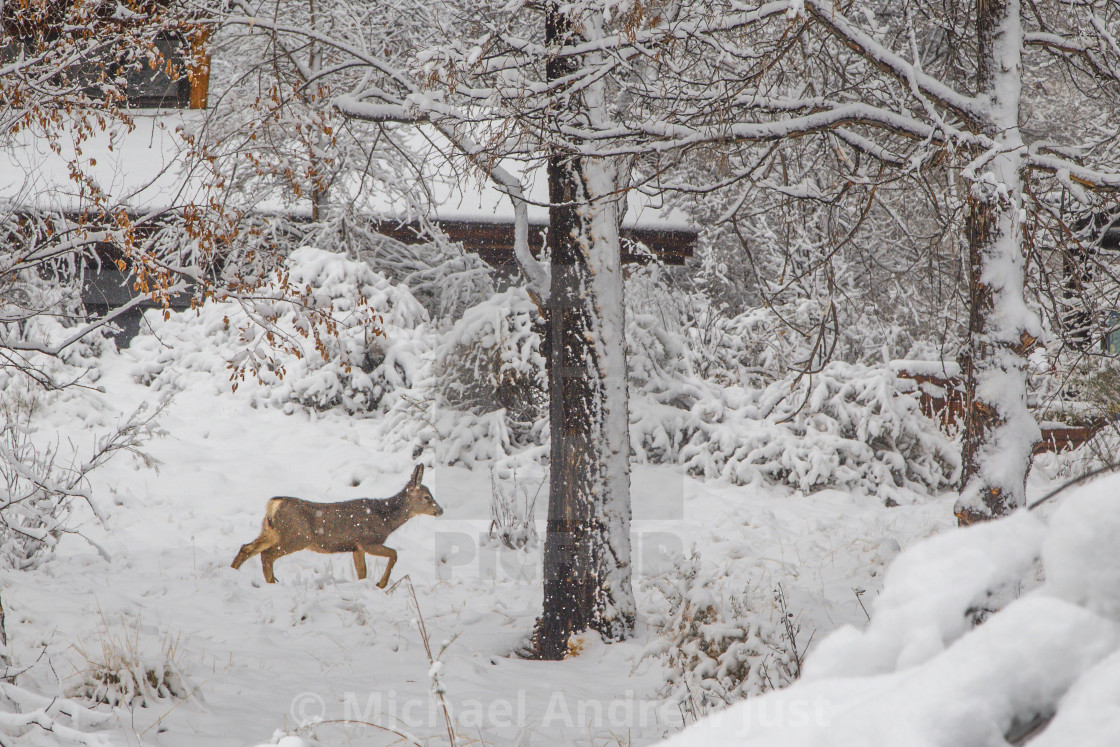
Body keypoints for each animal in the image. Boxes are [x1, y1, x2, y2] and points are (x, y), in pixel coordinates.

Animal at [230, 463, 441, 586]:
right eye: (427, 497)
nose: (440, 510)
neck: (385, 519)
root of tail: (274, 504)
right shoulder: (367, 541)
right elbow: (394, 554)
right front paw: (381, 584)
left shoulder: (356, 547)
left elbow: (362, 572)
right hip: (297, 536)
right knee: (266, 555)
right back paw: (272, 583)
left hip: (271, 531)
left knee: (247, 548)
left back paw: (234, 573)